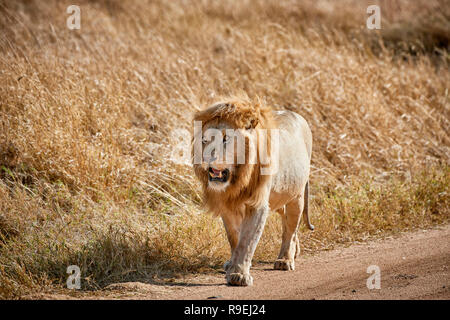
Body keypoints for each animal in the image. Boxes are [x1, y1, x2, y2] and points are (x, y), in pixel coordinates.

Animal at [192, 99, 312, 286]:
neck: (237, 179)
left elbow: (247, 241)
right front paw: (232, 265)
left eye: (226, 139)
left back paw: (285, 259)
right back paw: (295, 252)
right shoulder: (227, 205)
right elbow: (234, 237)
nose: (206, 159)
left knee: (291, 228)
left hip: (296, 195)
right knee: (287, 223)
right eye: (204, 140)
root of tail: (297, 115)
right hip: (280, 197)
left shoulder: (257, 204)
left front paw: (239, 275)